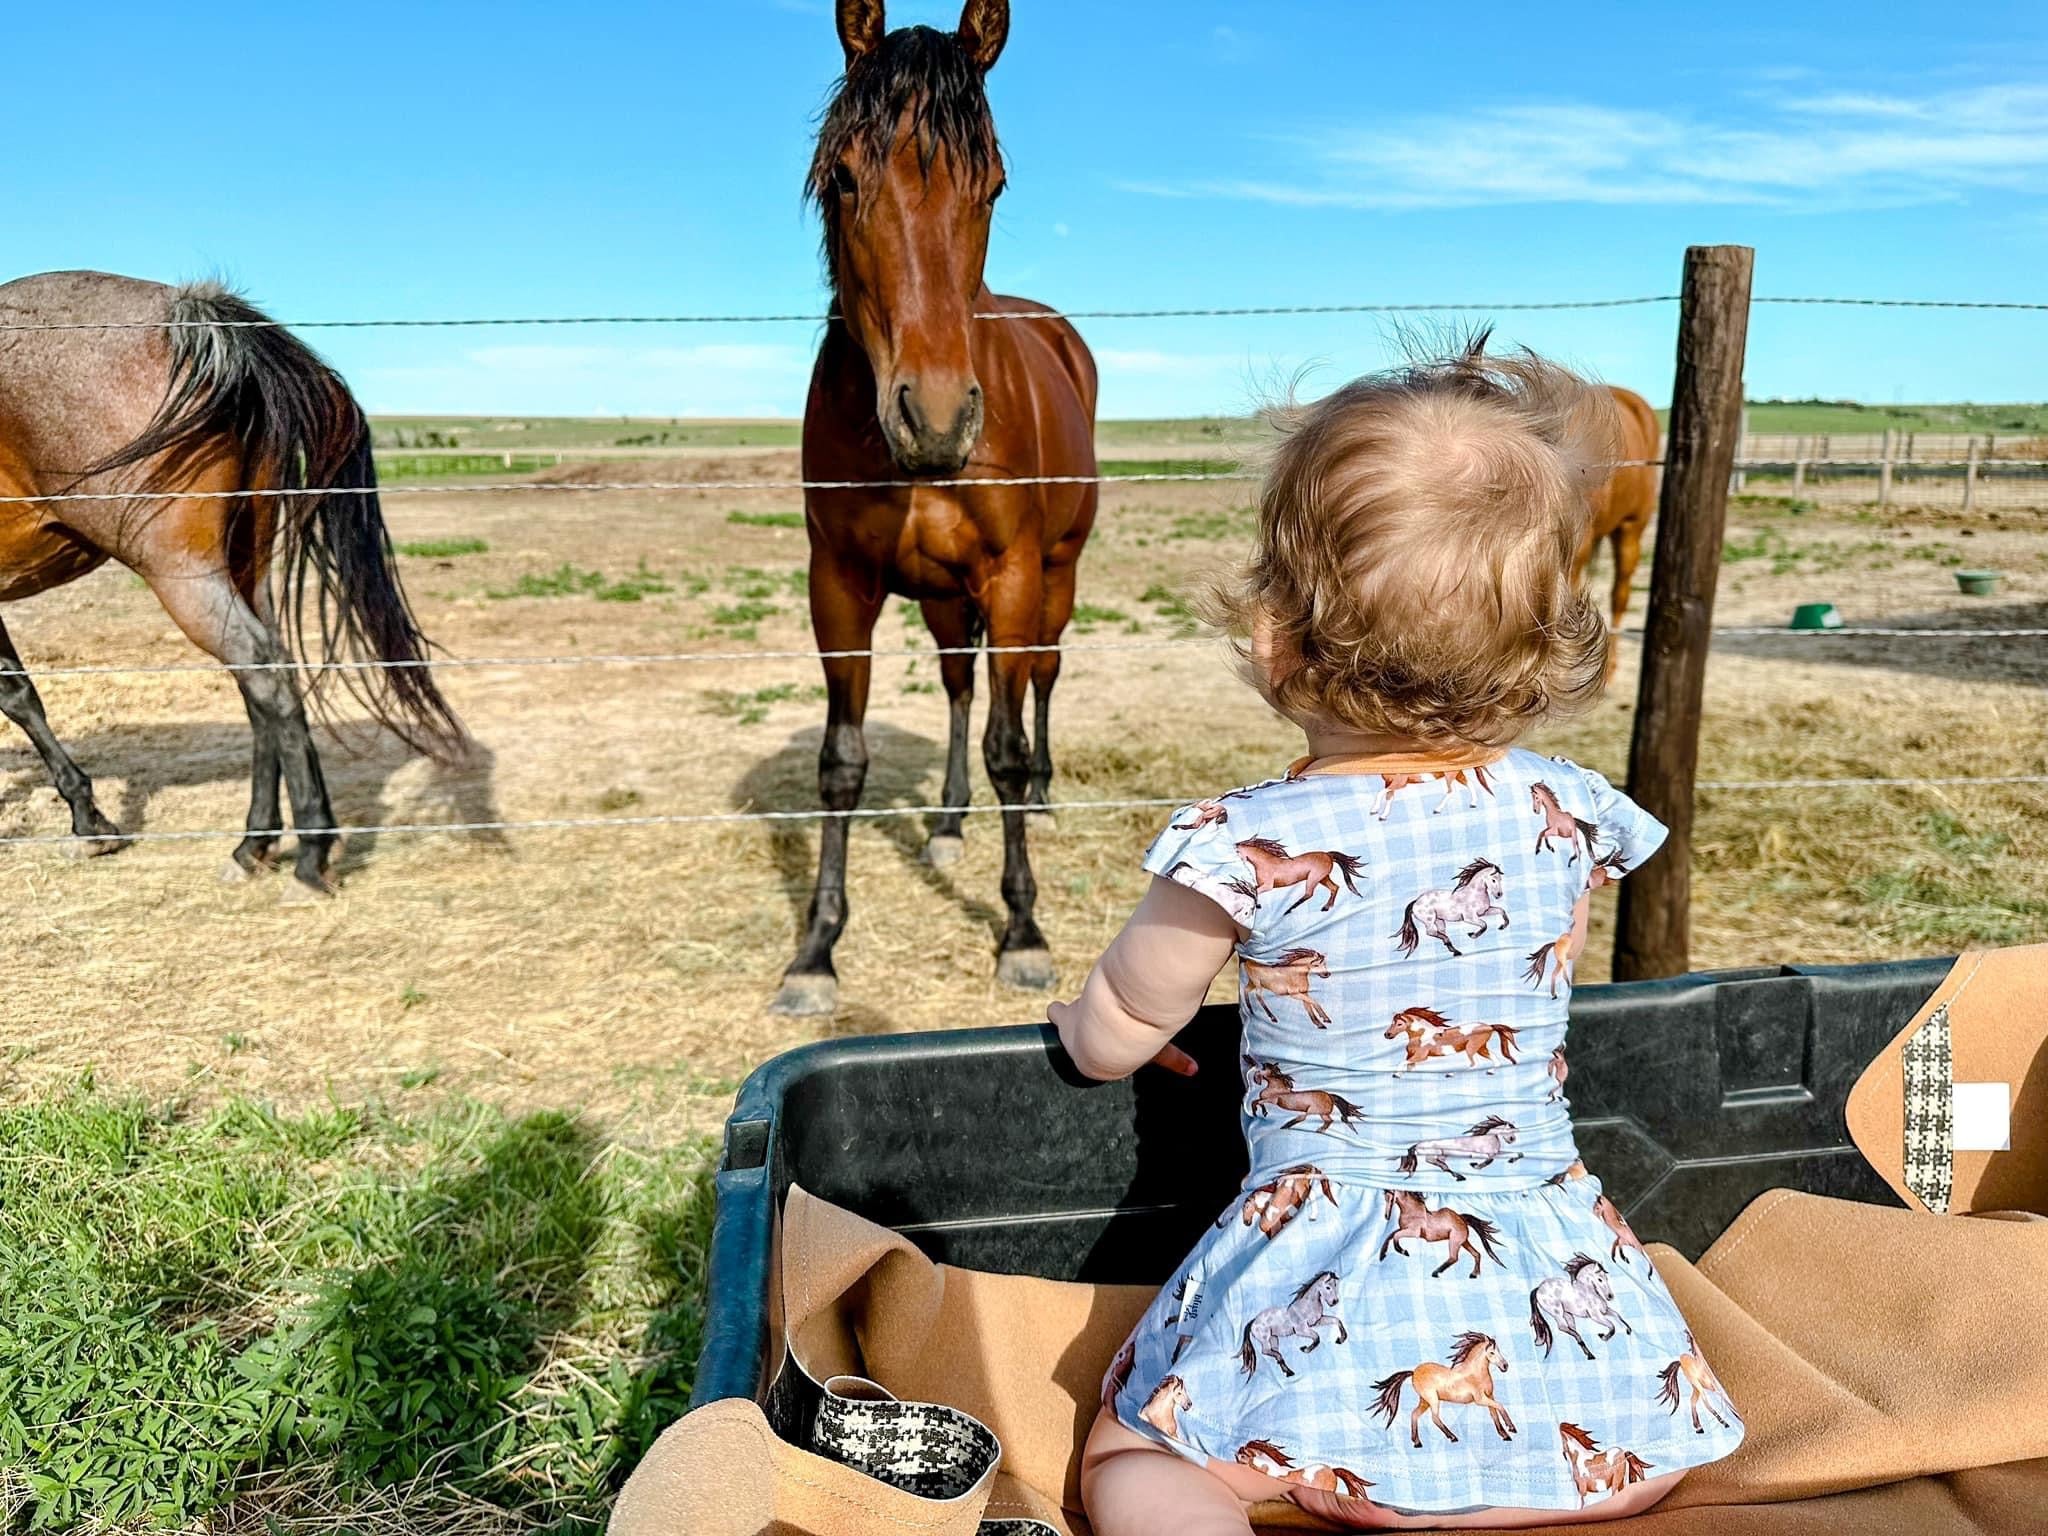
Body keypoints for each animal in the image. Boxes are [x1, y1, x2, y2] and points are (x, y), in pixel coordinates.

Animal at [0, 274, 464, 888]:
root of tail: (193, 314)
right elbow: (19, 694)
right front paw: (89, 820)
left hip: (185, 577)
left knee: (263, 673)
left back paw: (311, 853)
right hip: (246, 565)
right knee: (264, 682)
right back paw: (254, 845)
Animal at [778, 3, 1105, 1024]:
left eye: (990, 185)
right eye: (846, 175)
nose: (933, 415)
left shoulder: (1012, 576)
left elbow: (1007, 743)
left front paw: (1023, 935)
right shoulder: (840, 585)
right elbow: (842, 761)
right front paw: (816, 951)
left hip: (1055, 576)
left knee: (1040, 677)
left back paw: (1041, 796)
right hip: (939, 596)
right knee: (962, 686)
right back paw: (953, 822)